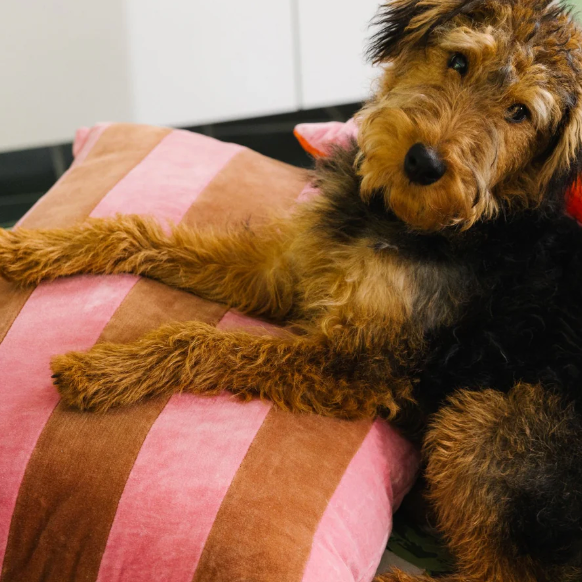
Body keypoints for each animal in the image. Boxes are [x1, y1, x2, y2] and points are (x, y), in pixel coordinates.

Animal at [1, 1, 582, 582]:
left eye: (519, 113)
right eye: (459, 61)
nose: (423, 163)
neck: (406, 219)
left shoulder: (361, 363)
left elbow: (204, 341)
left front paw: (105, 370)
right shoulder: (284, 272)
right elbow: (137, 233)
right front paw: (31, 246)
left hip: (482, 419)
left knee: (502, 571)